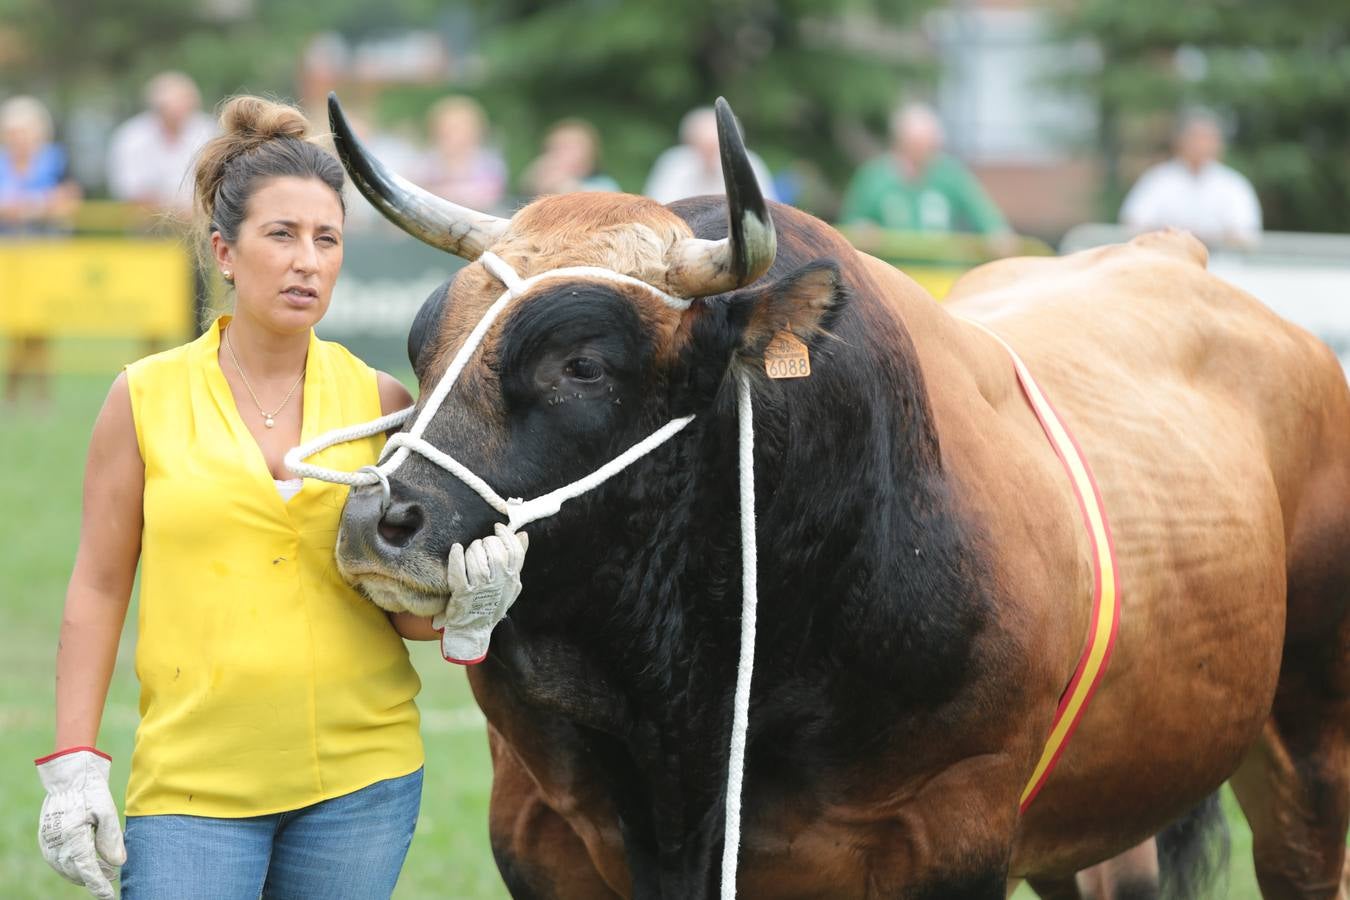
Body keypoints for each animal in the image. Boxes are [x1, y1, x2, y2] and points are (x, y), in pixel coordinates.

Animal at [329, 95, 1350, 895]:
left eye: (581, 363)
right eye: (421, 345)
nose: (381, 523)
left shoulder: (951, 830)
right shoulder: (537, 824)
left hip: (1310, 749)